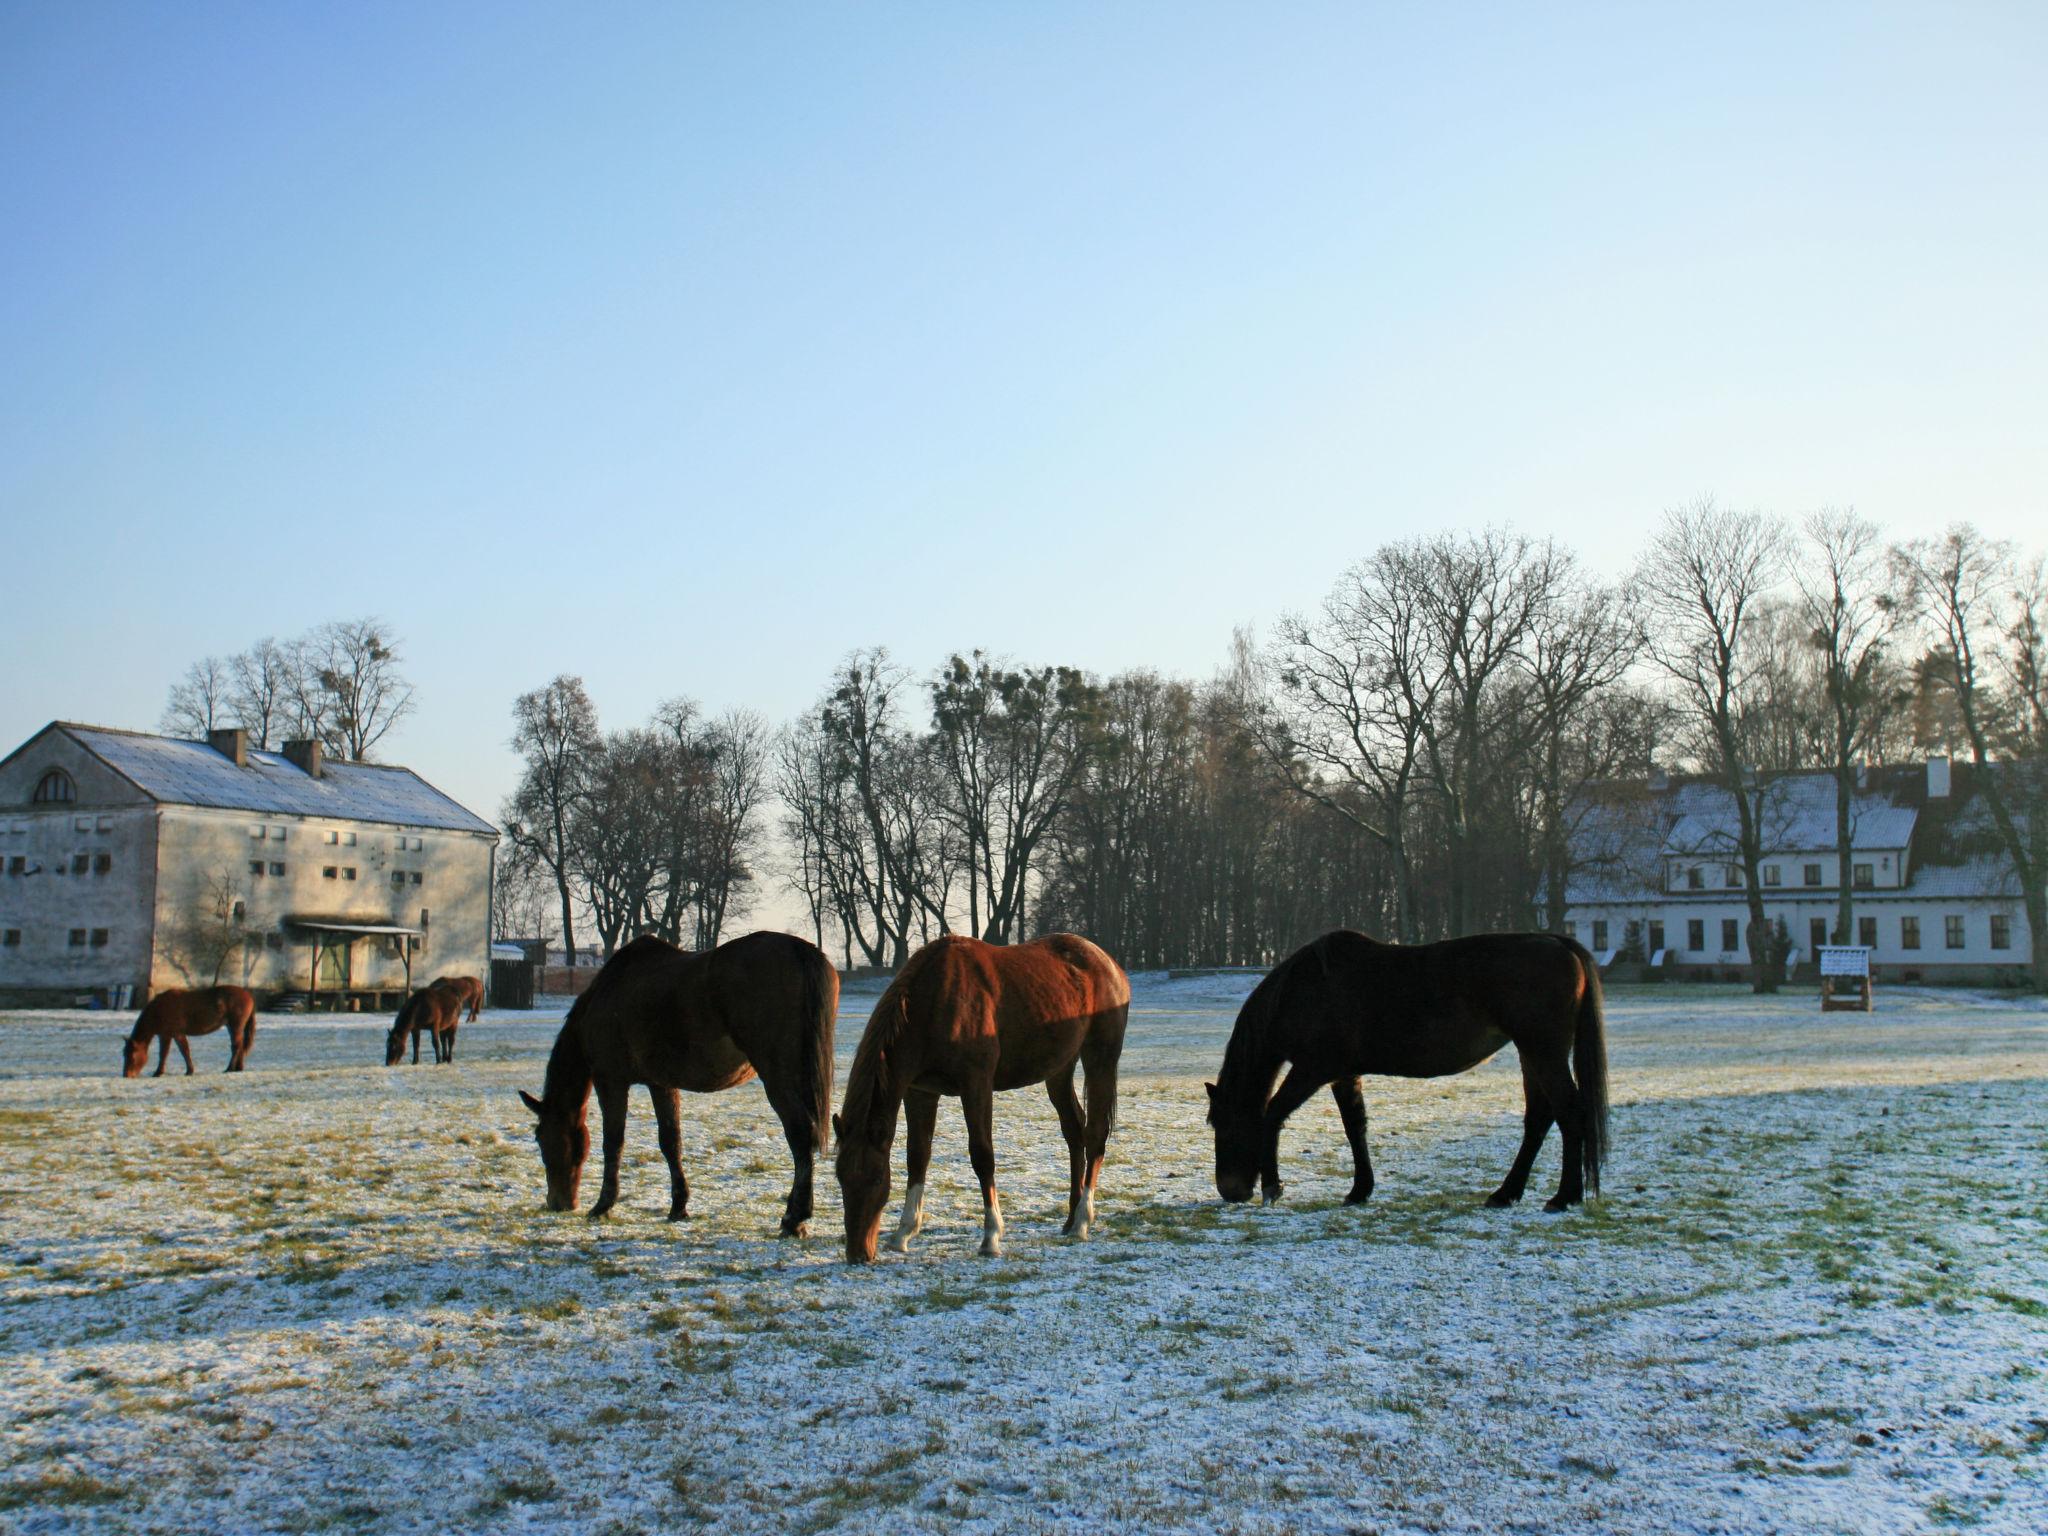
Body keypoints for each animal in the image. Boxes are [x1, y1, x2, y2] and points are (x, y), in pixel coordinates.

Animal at [121, 987, 258, 1081]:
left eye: (133, 1055)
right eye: (124, 1054)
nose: (126, 1075)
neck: (158, 1011)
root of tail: (249, 996)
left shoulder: (172, 1034)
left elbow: (175, 1052)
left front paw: (159, 1072)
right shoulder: (167, 1035)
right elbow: (178, 1052)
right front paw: (188, 1070)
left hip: (235, 1026)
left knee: (236, 1047)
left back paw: (229, 1068)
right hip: (232, 1027)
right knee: (240, 1046)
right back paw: (238, 1068)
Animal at [520, 925, 839, 1236]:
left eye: (541, 1138)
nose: (558, 1203)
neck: (608, 992)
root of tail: (799, 949)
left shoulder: (611, 1081)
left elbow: (613, 1142)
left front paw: (603, 1205)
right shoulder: (661, 1084)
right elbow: (671, 1142)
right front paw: (678, 1206)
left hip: (778, 1076)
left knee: (799, 1133)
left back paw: (794, 1218)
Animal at [835, 933, 1138, 1269]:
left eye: (877, 1179)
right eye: (840, 1177)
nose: (857, 1254)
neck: (933, 1003)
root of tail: (1109, 963)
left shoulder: (976, 1085)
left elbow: (982, 1156)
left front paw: (991, 1237)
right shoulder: (920, 1092)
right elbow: (917, 1156)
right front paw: (904, 1233)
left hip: (1100, 1058)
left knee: (1095, 1134)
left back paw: (1083, 1220)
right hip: (1059, 1068)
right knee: (1075, 1133)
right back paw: (1070, 1219)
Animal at [1196, 933, 1613, 1220]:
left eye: (1225, 1126)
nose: (1229, 1190)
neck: (1305, 992)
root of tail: (1559, 943)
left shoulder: (1313, 1070)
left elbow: (1273, 1115)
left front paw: (1273, 1187)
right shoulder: (1344, 1074)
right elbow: (1355, 1127)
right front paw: (1360, 1190)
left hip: (1544, 1052)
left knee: (1570, 1114)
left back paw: (1564, 1196)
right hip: (1532, 1054)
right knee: (1539, 1119)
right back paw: (1506, 1194)